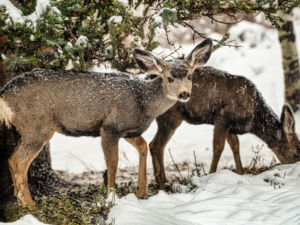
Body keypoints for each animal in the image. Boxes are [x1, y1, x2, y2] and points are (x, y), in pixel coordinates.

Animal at [0, 39, 213, 206]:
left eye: (190, 76)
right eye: (169, 78)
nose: (184, 94)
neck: (142, 103)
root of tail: (4, 93)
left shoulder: (128, 130)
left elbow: (143, 147)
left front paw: (142, 192)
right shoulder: (110, 127)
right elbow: (113, 162)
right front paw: (111, 197)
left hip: (30, 129)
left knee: (13, 160)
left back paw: (22, 202)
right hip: (36, 126)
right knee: (17, 161)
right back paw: (29, 205)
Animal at [149, 66, 300, 188]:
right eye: (296, 152)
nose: (296, 167)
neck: (253, 119)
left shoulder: (231, 126)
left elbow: (235, 147)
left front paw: (241, 174)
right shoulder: (222, 117)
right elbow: (218, 148)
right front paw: (210, 175)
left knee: (153, 145)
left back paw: (158, 182)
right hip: (170, 117)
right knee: (157, 145)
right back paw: (163, 183)